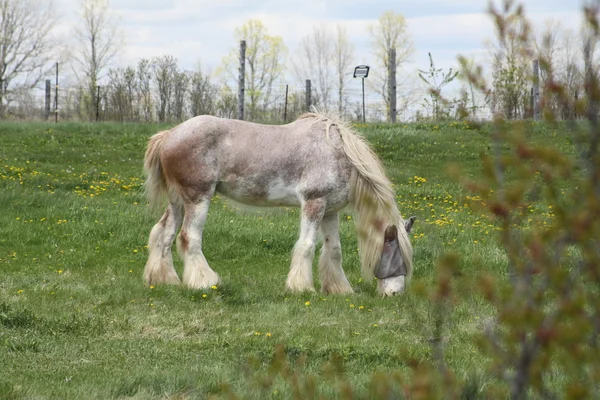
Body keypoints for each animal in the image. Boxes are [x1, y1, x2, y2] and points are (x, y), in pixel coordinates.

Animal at [143, 111, 414, 296]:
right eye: (398, 258)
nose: (395, 293)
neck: (337, 152)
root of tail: (168, 135)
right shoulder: (313, 204)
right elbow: (306, 245)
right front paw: (301, 287)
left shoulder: (330, 211)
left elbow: (334, 250)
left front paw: (339, 289)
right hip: (198, 198)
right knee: (189, 237)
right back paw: (204, 281)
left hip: (178, 201)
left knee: (164, 234)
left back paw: (166, 280)